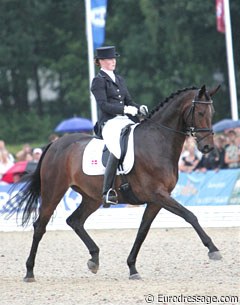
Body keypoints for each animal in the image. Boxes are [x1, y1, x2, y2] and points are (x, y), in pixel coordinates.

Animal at [4, 84, 221, 280]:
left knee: (74, 220)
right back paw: (29, 271)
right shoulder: (157, 194)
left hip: (92, 197)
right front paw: (213, 249)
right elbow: (190, 215)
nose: (208, 147)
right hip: (53, 191)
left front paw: (132, 268)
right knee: (40, 226)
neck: (157, 141)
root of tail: (55, 144)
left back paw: (94, 259)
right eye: (200, 112)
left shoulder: (156, 200)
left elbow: (142, 231)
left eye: (212, 112)